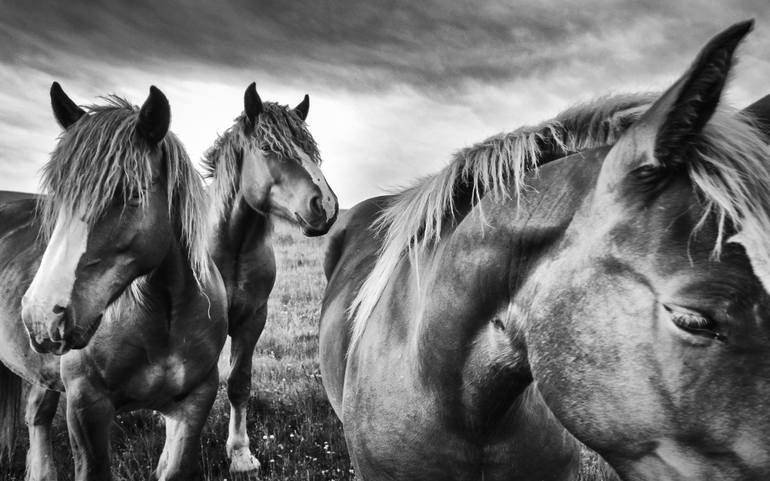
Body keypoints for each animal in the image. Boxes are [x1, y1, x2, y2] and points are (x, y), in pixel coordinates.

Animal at [0, 84, 226, 478]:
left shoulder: (195, 404)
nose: (42, 314)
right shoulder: (86, 406)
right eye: (59, 197)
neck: (164, 319)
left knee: (37, 414)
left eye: (132, 194)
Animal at [204, 82, 336, 476]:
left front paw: (240, 454)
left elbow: (238, 384)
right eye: (267, 147)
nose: (326, 205)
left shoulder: (253, 320)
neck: (231, 246)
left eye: (310, 149)